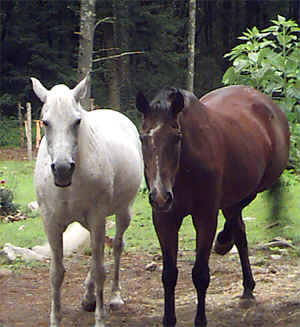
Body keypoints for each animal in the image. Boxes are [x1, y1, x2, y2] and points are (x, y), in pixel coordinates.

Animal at [31, 77, 144, 327]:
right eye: (45, 122)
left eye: (77, 121)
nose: (62, 169)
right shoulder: (51, 223)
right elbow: (56, 273)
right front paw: (55, 319)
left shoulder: (97, 216)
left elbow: (101, 268)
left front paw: (100, 319)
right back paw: (88, 297)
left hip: (123, 212)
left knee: (117, 247)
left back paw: (114, 297)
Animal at [137, 86, 290, 326]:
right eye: (143, 137)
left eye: (176, 137)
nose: (160, 196)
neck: (185, 169)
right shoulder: (164, 220)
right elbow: (169, 274)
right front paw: (168, 319)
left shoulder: (205, 217)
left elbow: (200, 274)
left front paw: (200, 320)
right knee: (239, 228)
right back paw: (247, 285)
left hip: (257, 185)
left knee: (237, 217)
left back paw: (224, 242)